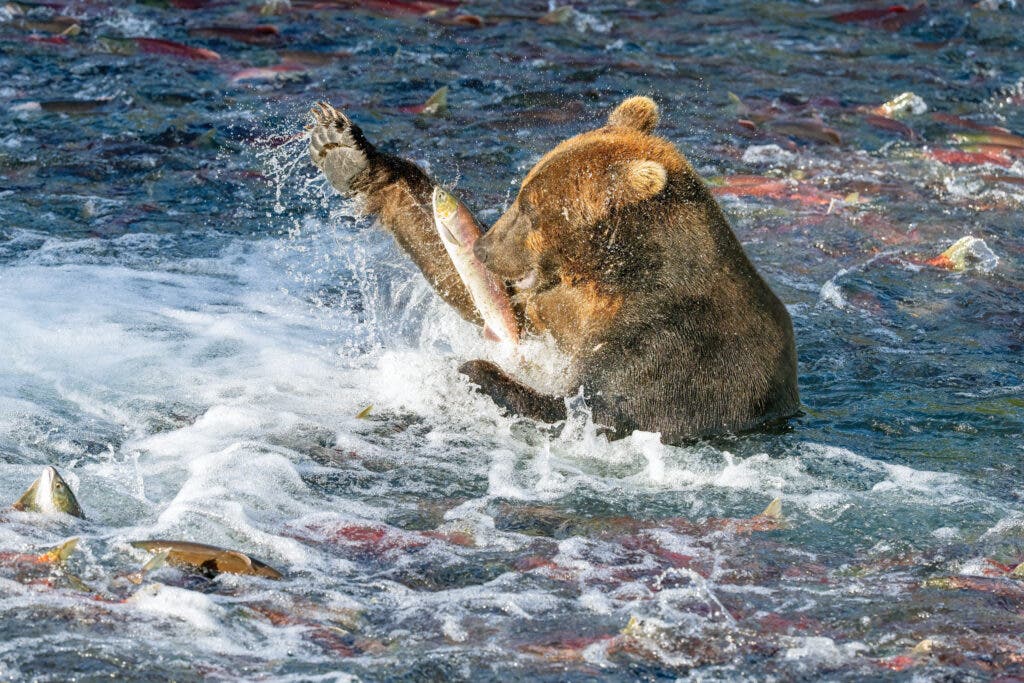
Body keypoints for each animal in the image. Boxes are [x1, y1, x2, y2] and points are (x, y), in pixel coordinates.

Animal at [308, 96, 799, 443]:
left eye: (529, 208)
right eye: (521, 193)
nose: (484, 248)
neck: (614, 276)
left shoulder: (667, 351)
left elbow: (586, 412)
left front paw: (475, 369)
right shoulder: (560, 305)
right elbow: (491, 301)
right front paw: (343, 148)